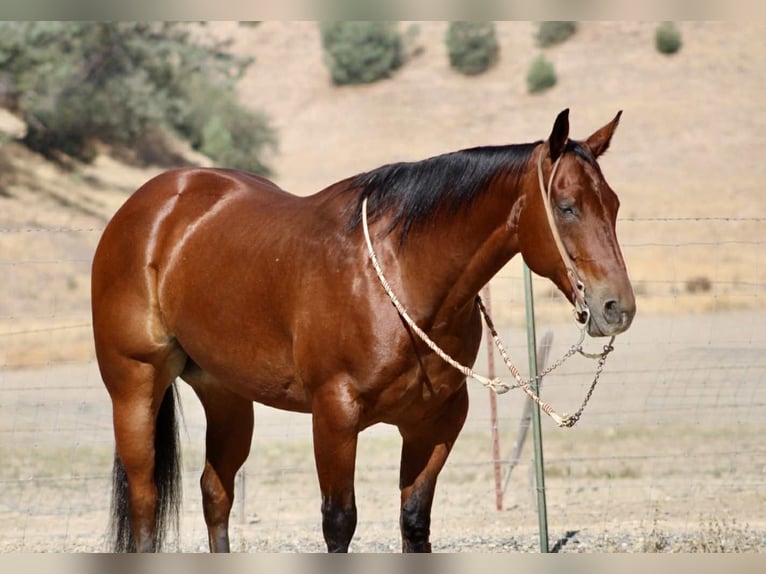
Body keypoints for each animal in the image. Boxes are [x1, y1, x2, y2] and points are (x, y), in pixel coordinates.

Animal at [91, 109, 635, 553]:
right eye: (566, 206)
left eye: (613, 204)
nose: (617, 308)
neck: (400, 276)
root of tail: (150, 205)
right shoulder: (334, 416)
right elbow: (339, 523)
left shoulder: (435, 422)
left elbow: (414, 521)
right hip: (135, 386)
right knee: (145, 500)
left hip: (225, 394)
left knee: (215, 492)